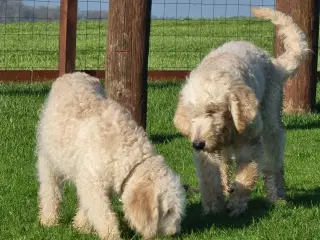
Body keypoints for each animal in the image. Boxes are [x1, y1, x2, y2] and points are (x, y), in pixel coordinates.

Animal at [35, 72, 185, 239]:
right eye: (168, 211)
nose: (175, 233)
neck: (124, 152)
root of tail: (73, 74)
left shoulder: (94, 183)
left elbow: (88, 207)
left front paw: (82, 226)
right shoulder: (92, 183)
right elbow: (103, 214)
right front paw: (111, 235)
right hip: (48, 158)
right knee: (50, 189)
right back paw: (49, 219)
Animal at [174, 7, 308, 218]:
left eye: (212, 110)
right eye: (192, 116)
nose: (197, 144)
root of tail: (274, 63)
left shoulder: (249, 143)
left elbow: (246, 175)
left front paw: (236, 205)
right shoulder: (207, 152)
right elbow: (209, 178)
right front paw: (212, 207)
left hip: (271, 119)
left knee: (274, 162)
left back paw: (277, 196)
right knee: (225, 164)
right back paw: (226, 187)